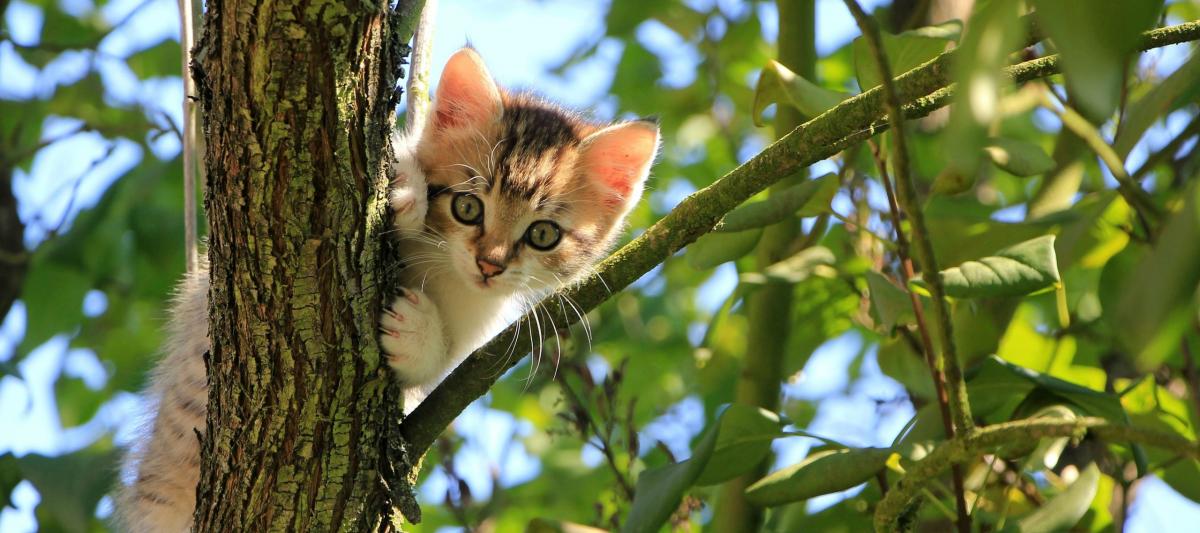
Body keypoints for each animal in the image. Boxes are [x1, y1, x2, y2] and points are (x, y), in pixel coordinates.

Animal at [117, 48, 662, 530]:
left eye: (543, 234)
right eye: (468, 206)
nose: (489, 264)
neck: (442, 269)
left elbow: (439, 365)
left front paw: (415, 332)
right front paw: (405, 187)